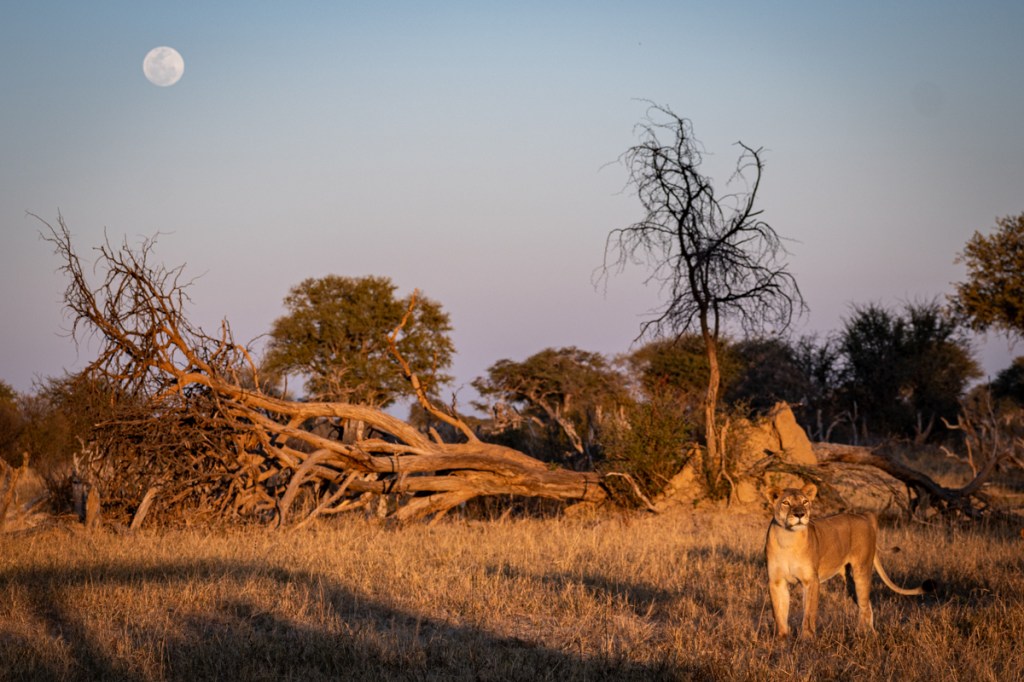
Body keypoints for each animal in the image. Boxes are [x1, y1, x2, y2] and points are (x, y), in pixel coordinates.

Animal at [764, 482, 933, 639]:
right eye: (786, 503)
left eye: (805, 502)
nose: (800, 514)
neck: (788, 539)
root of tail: (865, 517)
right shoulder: (776, 581)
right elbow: (779, 613)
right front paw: (781, 640)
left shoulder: (811, 580)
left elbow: (809, 613)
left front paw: (806, 639)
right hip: (849, 582)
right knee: (867, 605)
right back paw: (868, 633)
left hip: (861, 571)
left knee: (864, 605)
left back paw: (864, 636)